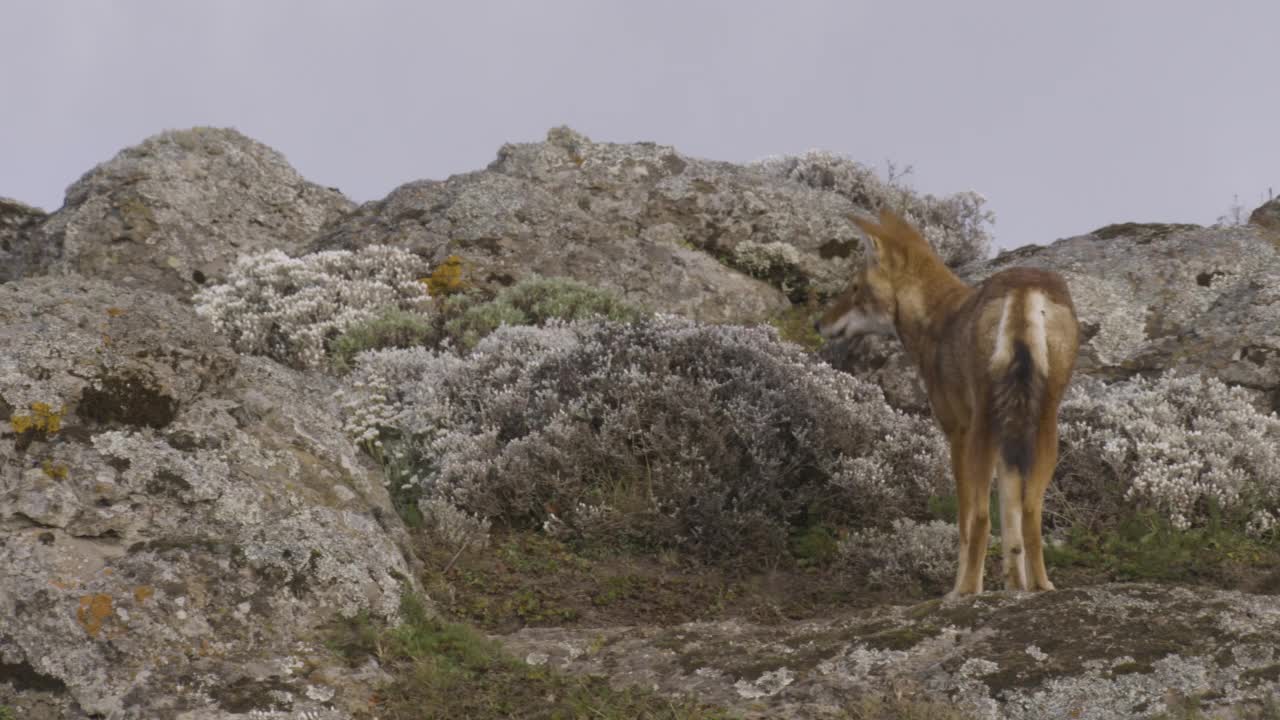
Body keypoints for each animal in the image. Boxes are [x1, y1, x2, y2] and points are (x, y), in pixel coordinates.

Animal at [814, 210, 1075, 597]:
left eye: (855, 288)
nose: (819, 323)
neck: (936, 317)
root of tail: (1024, 285)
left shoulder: (956, 432)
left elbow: (966, 526)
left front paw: (964, 589)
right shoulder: (1007, 442)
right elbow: (1011, 526)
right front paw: (1016, 587)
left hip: (983, 429)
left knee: (980, 518)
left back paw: (964, 592)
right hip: (1044, 425)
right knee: (1029, 512)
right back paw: (1043, 587)